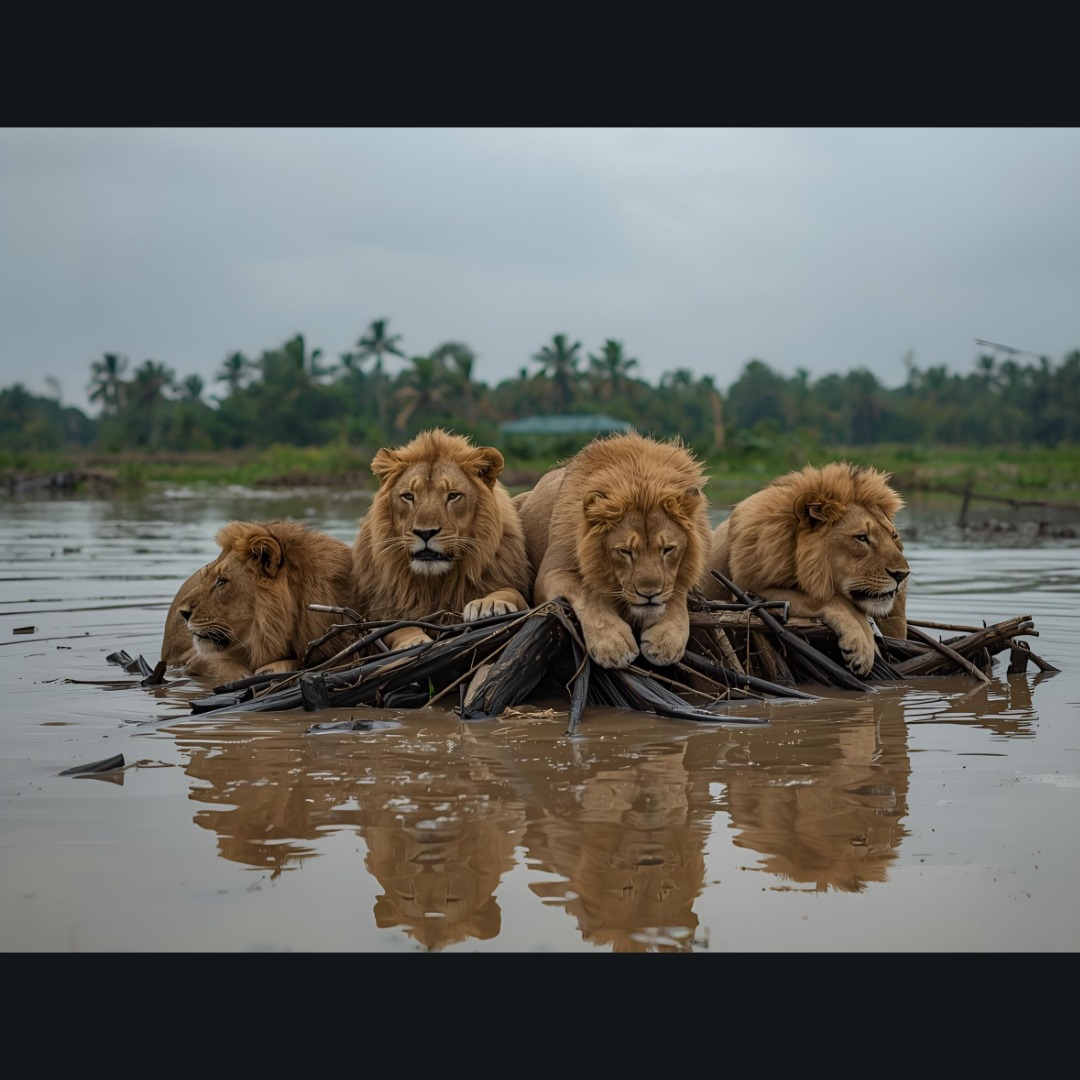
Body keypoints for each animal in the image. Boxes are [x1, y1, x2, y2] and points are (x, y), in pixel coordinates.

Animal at [350, 428, 533, 652]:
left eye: (453, 495)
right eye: (408, 496)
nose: (425, 533)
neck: (435, 583)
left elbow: (509, 591)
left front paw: (487, 604)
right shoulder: (379, 612)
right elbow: (396, 627)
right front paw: (412, 640)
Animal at [515, 431, 712, 670]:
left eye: (667, 549)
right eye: (625, 551)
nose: (649, 595)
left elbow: (675, 592)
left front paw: (667, 639)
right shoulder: (550, 573)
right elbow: (587, 591)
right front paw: (612, 644)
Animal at [697, 461, 910, 676]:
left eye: (893, 536)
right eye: (862, 537)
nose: (902, 575)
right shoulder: (746, 590)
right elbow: (830, 599)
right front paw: (863, 647)